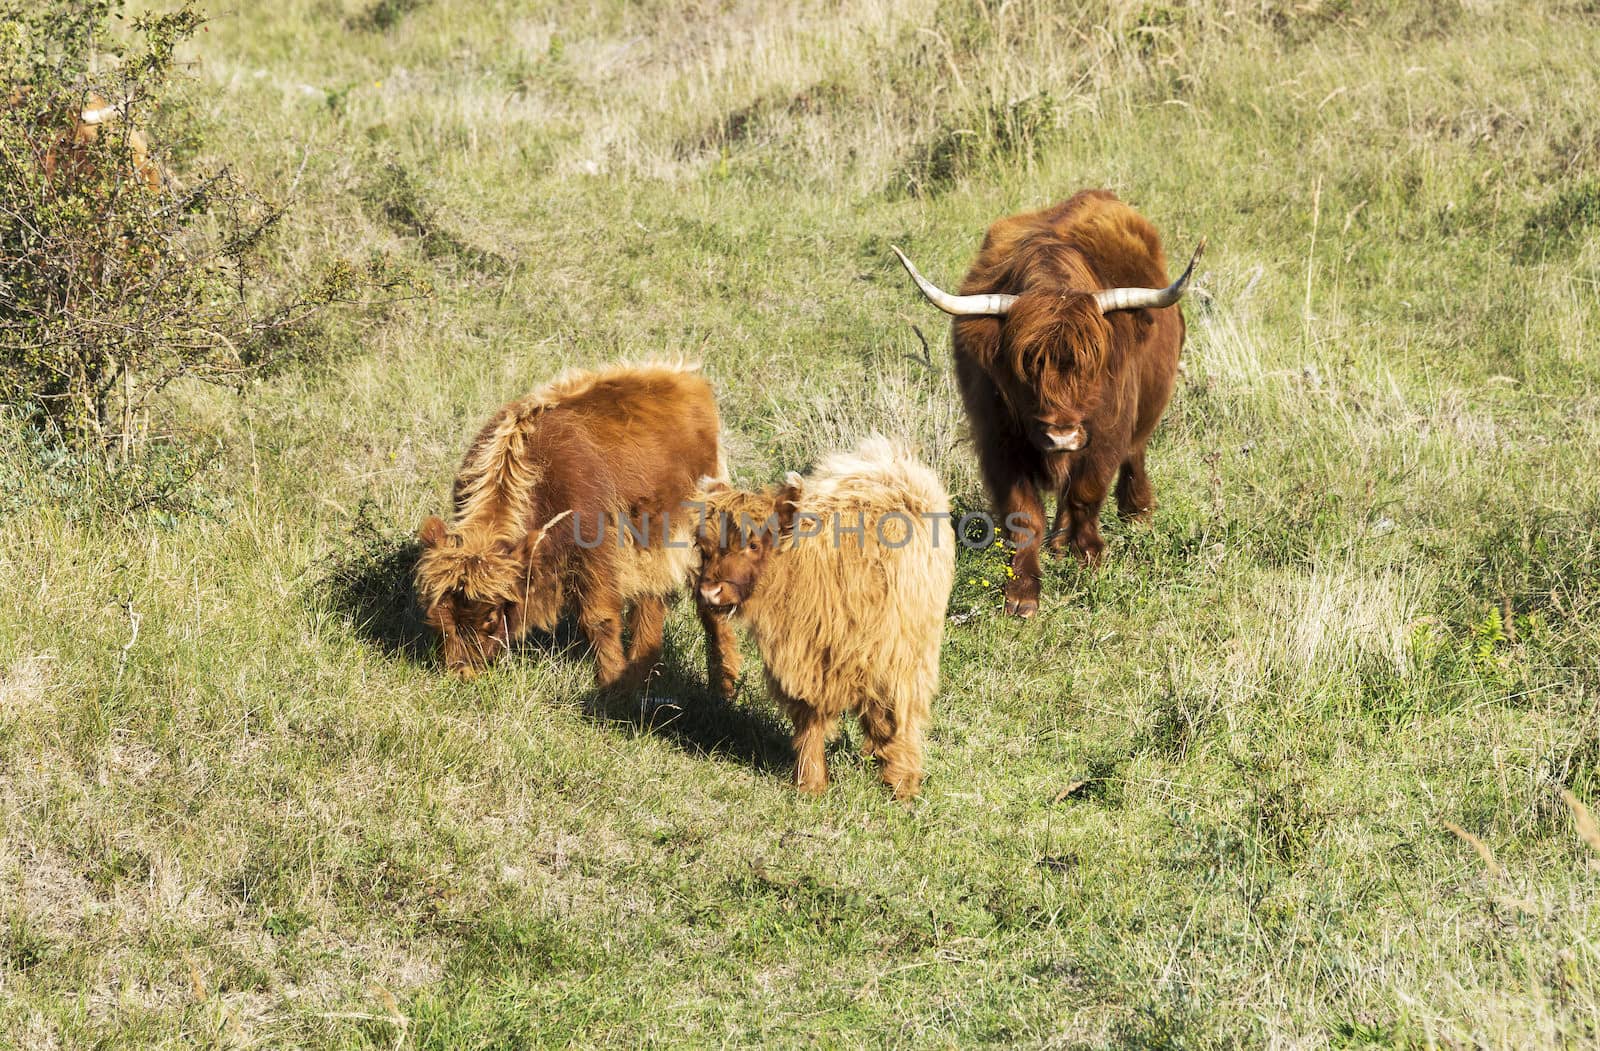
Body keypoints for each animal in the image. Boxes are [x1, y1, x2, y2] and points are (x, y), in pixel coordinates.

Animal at [412, 356, 736, 694]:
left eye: (490, 615)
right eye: (439, 617)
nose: (463, 672)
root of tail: (687, 377)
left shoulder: (596, 555)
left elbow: (598, 619)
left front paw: (611, 686)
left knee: (712, 609)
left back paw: (722, 688)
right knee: (650, 602)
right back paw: (643, 676)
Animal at [694, 435, 953, 796]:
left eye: (754, 545)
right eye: (702, 546)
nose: (709, 592)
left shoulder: (892, 661)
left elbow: (892, 718)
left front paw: (901, 786)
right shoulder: (806, 660)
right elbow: (810, 721)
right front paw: (810, 783)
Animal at [889, 188, 1203, 614]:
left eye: (1092, 361)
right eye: (1026, 365)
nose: (1061, 436)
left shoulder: (1105, 433)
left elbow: (1086, 494)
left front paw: (1090, 562)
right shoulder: (999, 441)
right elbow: (1024, 515)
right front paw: (1022, 593)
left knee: (1134, 455)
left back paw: (1136, 514)